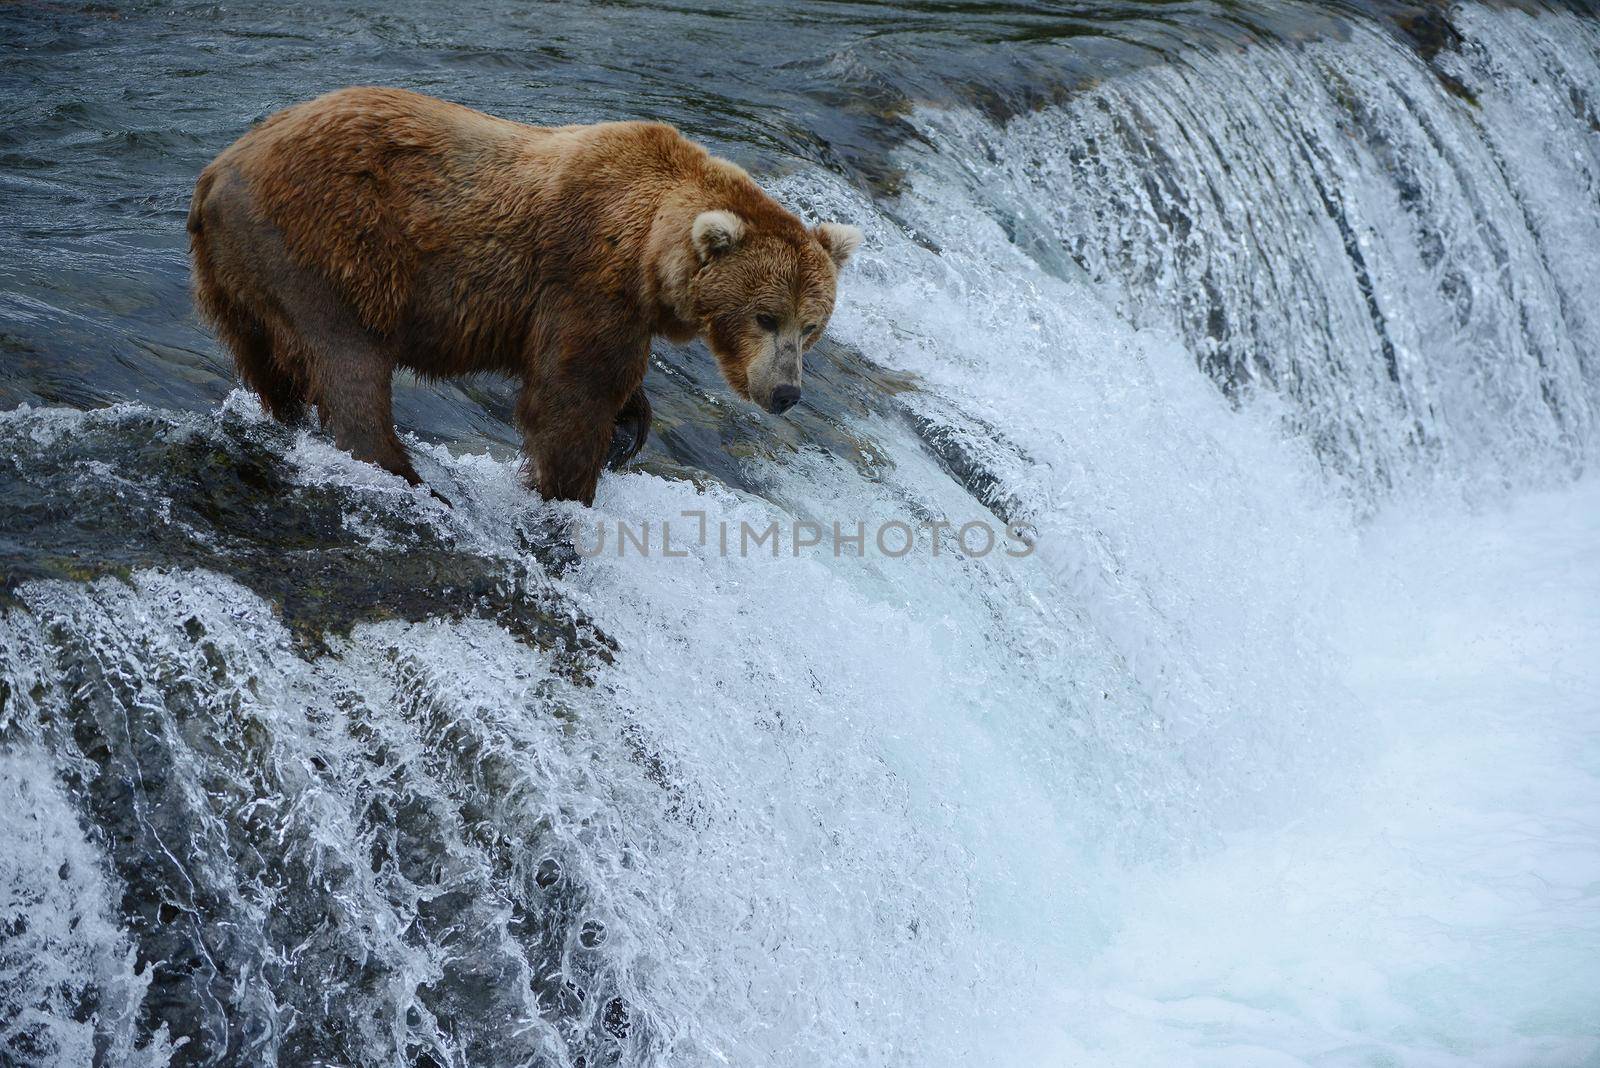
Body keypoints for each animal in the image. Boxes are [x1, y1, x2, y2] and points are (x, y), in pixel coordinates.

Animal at [184, 86, 864, 505]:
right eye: (766, 316)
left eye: (811, 326)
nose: (785, 392)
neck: (648, 256)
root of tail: (217, 170)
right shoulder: (585, 280)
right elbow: (570, 394)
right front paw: (567, 486)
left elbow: (605, 383)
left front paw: (629, 429)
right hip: (327, 246)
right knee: (348, 360)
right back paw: (407, 475)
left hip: (237, 276)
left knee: (268, 362)